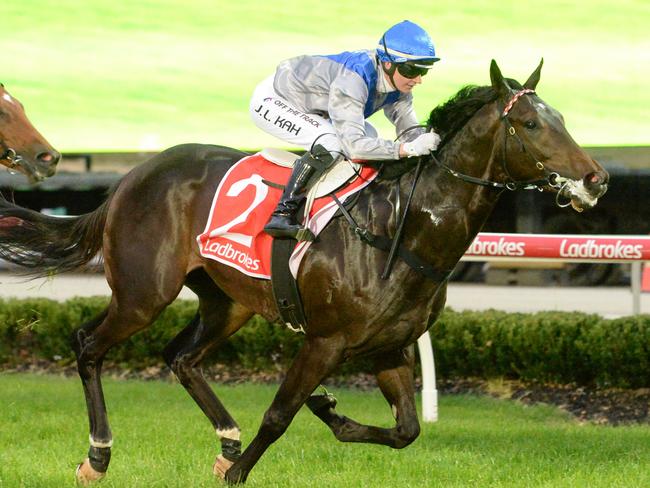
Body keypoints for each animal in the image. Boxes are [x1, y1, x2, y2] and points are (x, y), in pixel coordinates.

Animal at [0, 59, 608, 482]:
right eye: (529, 123)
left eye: (560, 119)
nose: (595, 178)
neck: (401, 228)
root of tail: (130, 177)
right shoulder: (324, 341)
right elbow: (277, 415)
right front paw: (242, 469)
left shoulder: (390, 347)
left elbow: (406, 431)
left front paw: (326, 412)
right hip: (142, 293)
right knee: (88, 346)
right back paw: (98, 456)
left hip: (228, 300)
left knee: (181, 357)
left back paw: (225, 440)